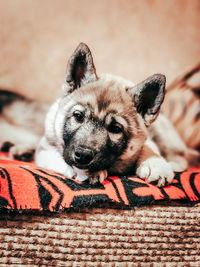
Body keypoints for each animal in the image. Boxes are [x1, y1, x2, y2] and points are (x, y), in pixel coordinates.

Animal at [0, 43, 191, 187]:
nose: (83, 156)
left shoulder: (145, 141)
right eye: (78, 116)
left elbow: (148, 147)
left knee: (181, 157)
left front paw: (156, 164)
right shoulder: (46, 148)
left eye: (115, 128)